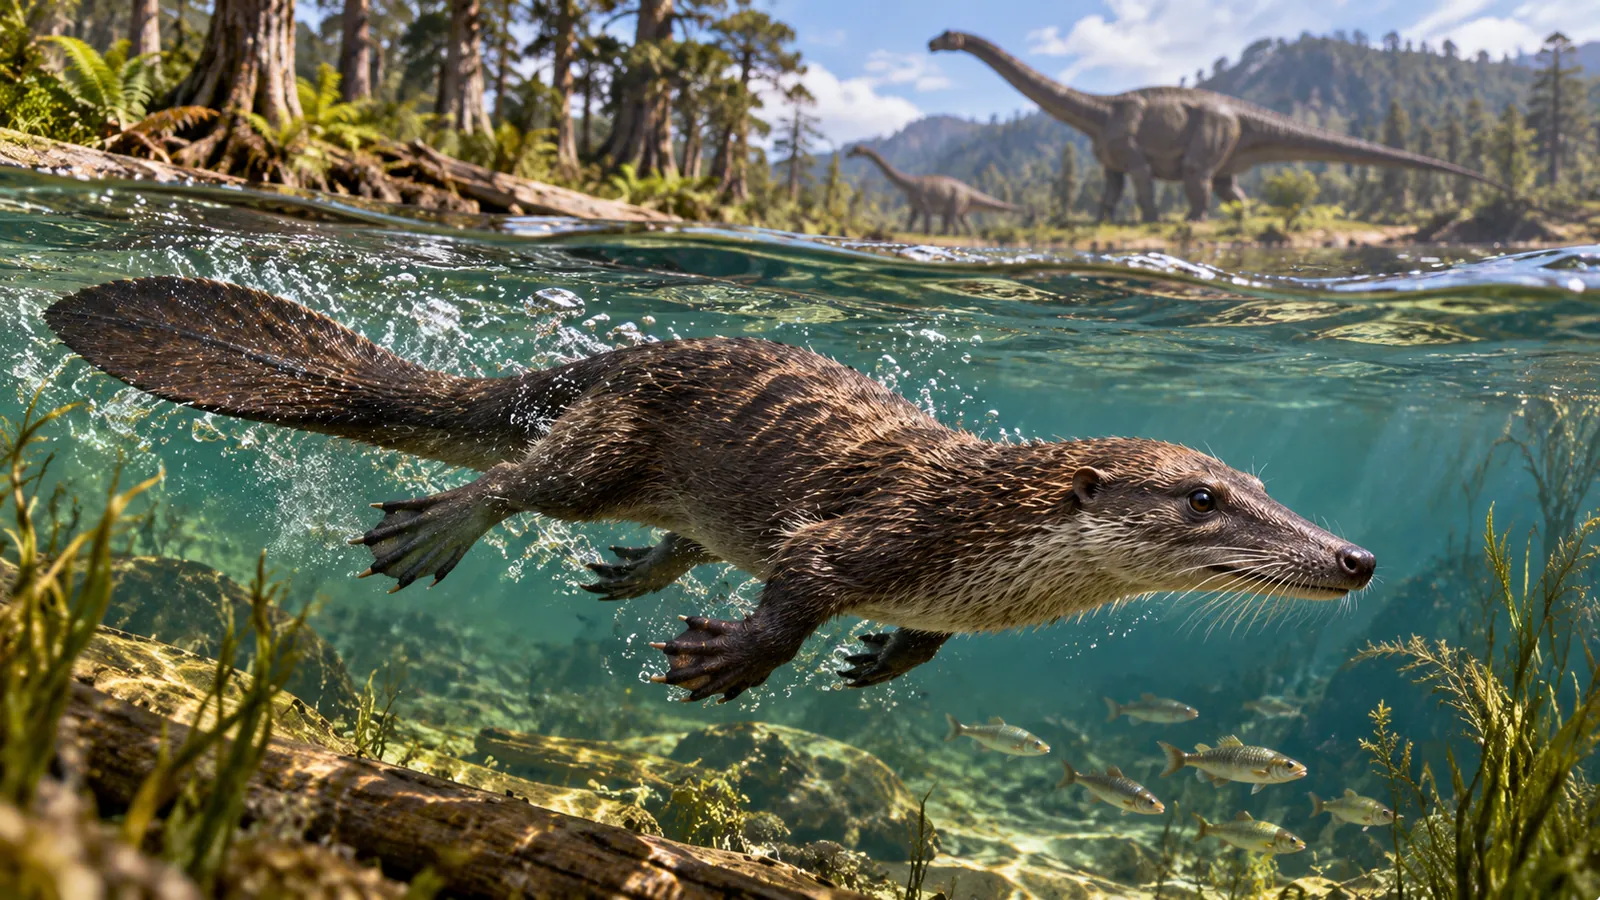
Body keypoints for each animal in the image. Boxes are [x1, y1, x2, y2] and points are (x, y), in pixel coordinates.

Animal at [44, 277, 1376, 703]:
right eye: (1202, 500)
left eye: (1258, 483)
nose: (1358, 556)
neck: (981, 544)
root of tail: (607, 363)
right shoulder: (869, 534)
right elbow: (799, 586)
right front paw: (728, 661)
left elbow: (914, 637)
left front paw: (883, 659)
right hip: (608, 443)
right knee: (525, 476)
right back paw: (435, 529)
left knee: (660, 529)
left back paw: (638, 570)